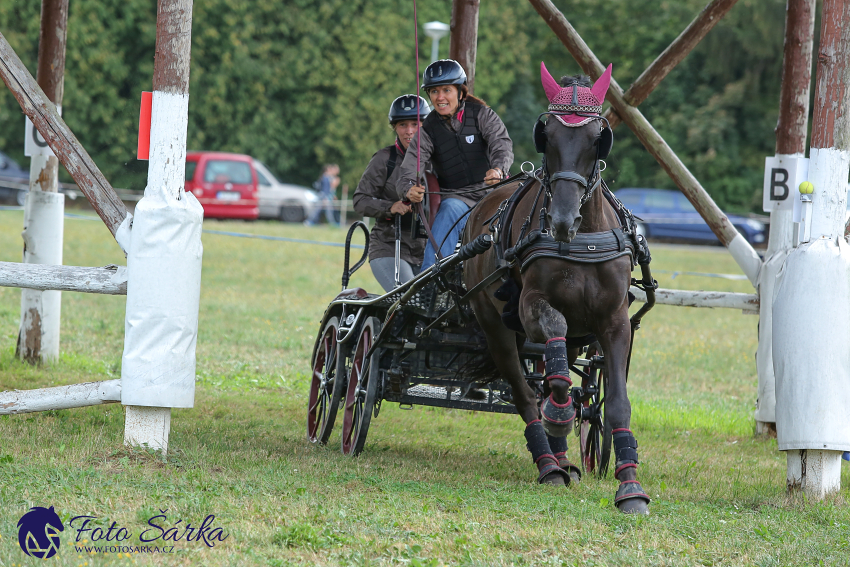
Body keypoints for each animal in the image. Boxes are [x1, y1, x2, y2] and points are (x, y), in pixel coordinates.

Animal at [458, 63, 648, 516]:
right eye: (549, 136)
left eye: (598, 137)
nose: (563, 220)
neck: (582, 240)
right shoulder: (531, 308)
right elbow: (555, 376)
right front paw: (558, 415)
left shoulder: (614, 321)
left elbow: (616, 404)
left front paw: (630, 487)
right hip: (496, 327)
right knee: (526, 391)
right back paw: (549, 463)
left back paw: (564, 460)